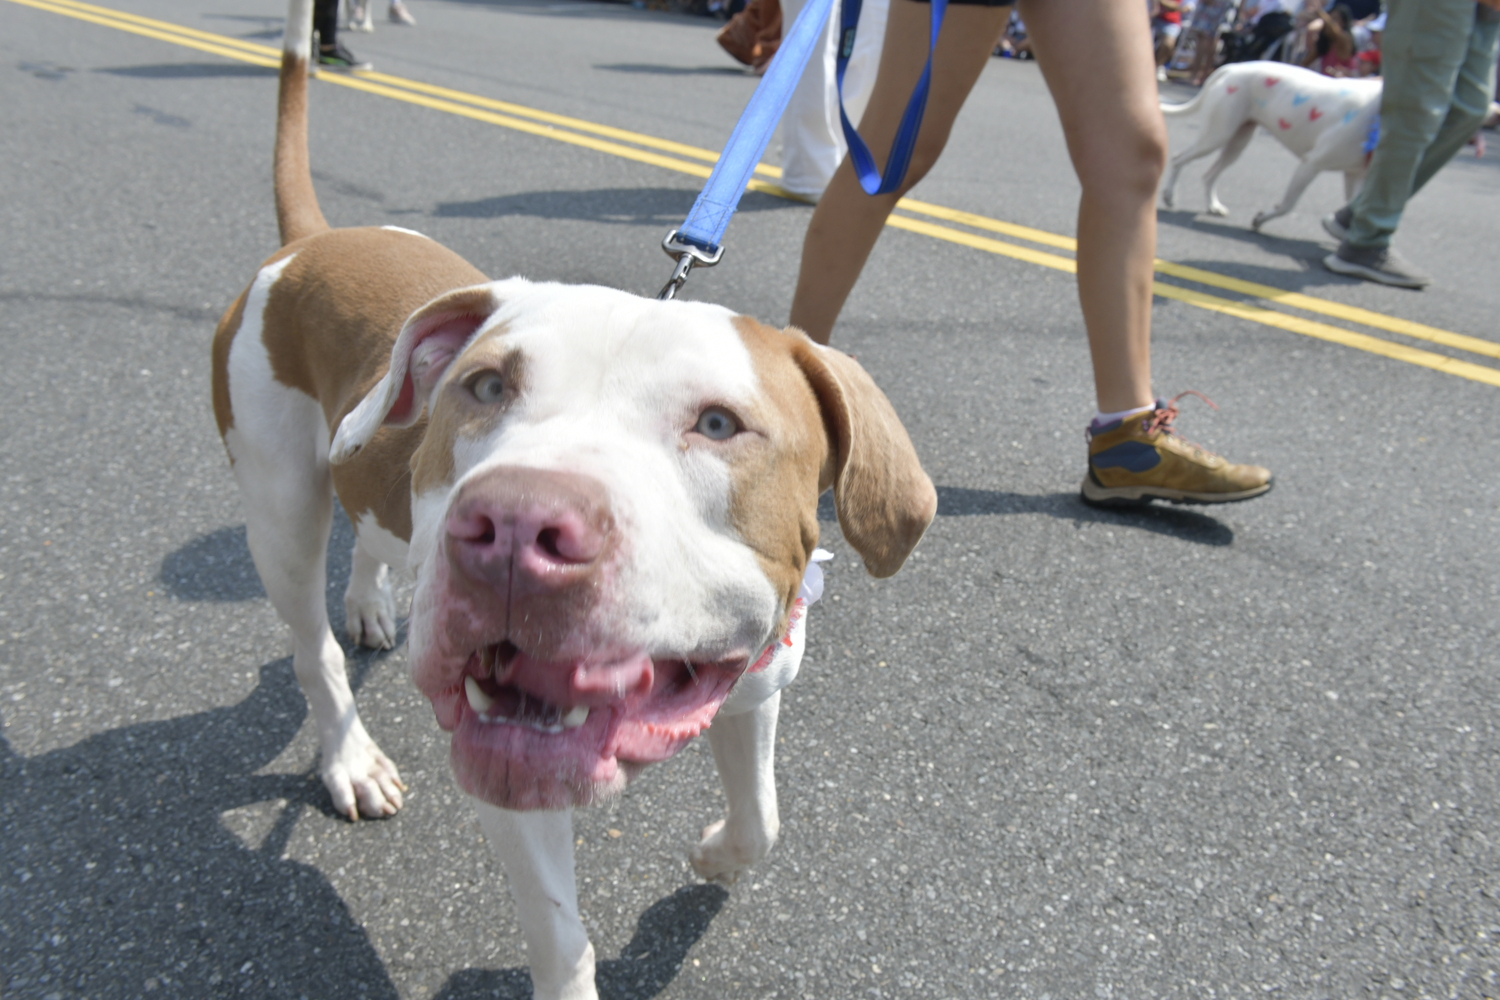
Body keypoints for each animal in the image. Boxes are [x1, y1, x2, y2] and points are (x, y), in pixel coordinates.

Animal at [208, 3, 936, 995]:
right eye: (484, 387)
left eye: (719, 423)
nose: (515, 525)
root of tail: (308, 243)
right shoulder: (511, 758)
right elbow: (560, 932)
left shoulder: (758, 683)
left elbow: (763, 819)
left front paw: (715, 854)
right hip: (280, 504)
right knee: (310, 645)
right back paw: (349, 754)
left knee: (373, 531)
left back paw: (370, 605)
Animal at [1158, 60, 1380, 230]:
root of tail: (1233, 67)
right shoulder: (1310, 164)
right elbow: (1287, 205)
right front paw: (1261, 219)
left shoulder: (1354, 176)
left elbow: (1357, 210)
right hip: (1215, 136)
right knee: (1178, 159)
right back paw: (1169, 195)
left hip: (1237, 143)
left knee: (1209, 175)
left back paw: (1213, 205)